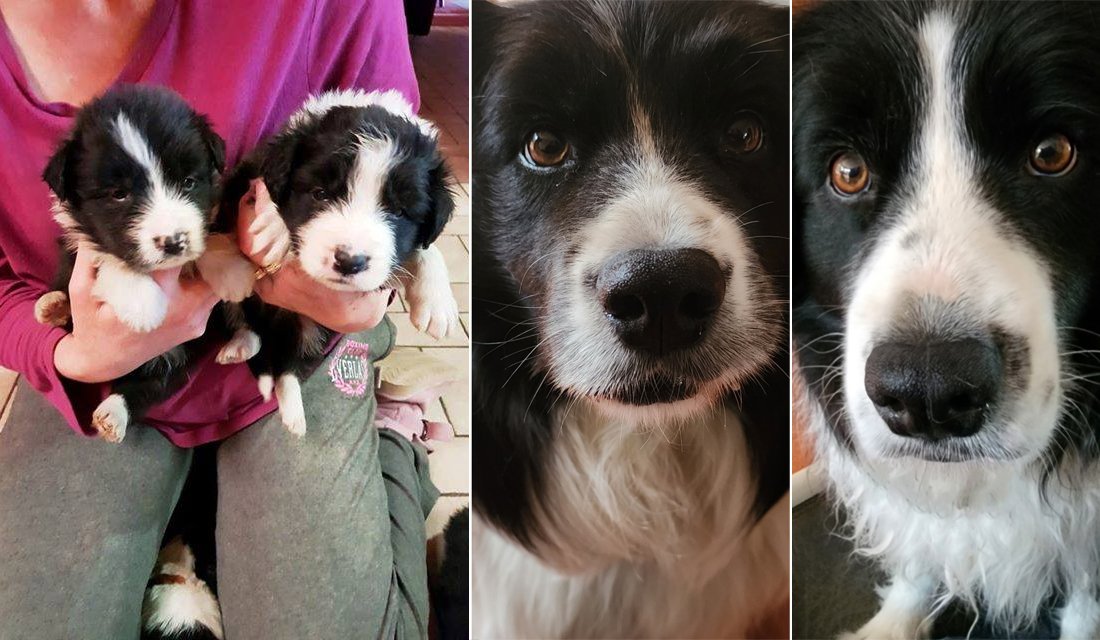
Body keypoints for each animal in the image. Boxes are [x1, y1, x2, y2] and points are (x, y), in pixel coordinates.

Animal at [36, 85, 253, 444]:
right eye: (118, 194)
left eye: (189, 182)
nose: (173, 242)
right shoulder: (81, 247)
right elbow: (111, 260)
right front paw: (141, 304)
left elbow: (209, 241)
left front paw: (234, 272)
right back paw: (52, 307)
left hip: (179, 354)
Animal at [216, 89, 457, 435]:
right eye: (319, 194)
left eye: (399, 211)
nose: (349, 261)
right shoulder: (246, 173)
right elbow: (264, 191)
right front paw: (273, 230)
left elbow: (426, 248)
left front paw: (438, 304)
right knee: (245, 326)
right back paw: (240, 347)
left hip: (314, 329)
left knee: (290, 365)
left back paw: (294, 414)